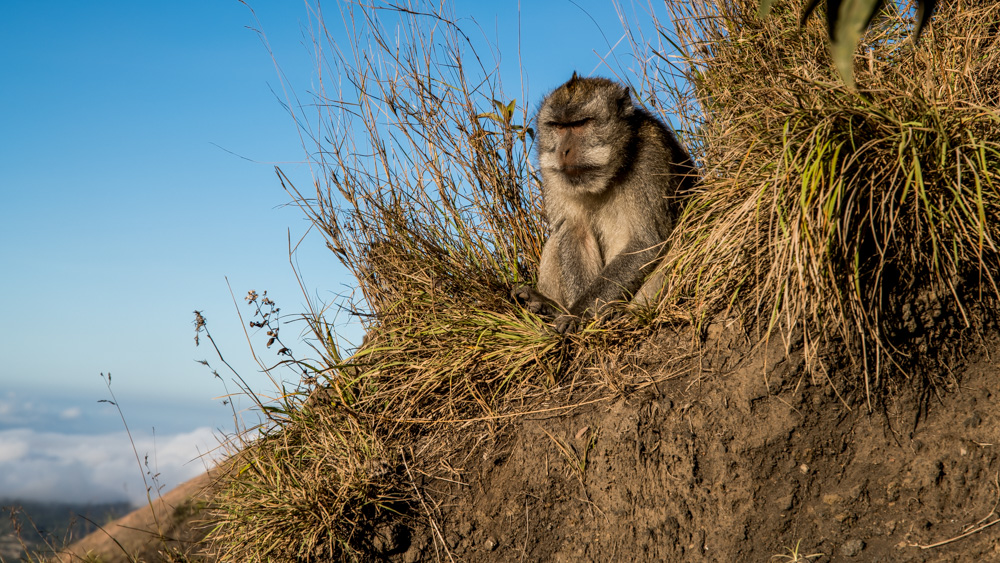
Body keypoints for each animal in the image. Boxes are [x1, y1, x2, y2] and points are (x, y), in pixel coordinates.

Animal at [516, 72, 696, 332]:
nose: (564, 151)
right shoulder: (553, 175)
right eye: (558, 127)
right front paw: (571, 313)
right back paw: (548, 307)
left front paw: (576, 315)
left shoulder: (651, 158)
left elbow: (647, 243)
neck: (612, 171)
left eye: (580, 124)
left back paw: (624, 316)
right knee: (555, 240)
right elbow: (575, 233)